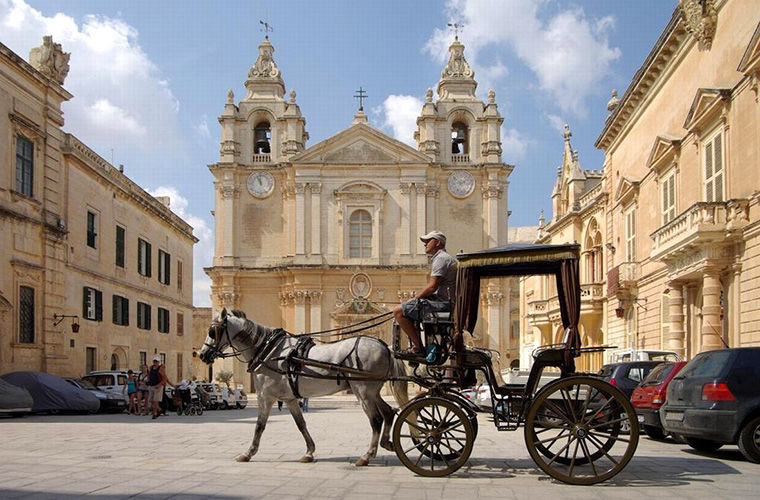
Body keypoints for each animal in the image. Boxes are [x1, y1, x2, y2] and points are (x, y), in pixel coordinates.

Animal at [199, 306, 406, 466]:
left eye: (212, 331)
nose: (202, 354)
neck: (269, 350)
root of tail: (386, 347)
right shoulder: (289, 399)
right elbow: (301, 424)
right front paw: (309, 452)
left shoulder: (265, 397)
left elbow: (259, 425)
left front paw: (248, 453)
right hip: (372, 392)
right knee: (388, 412)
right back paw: (386, 443)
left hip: (363, 391)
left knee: (376, 419)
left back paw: (367, 456)